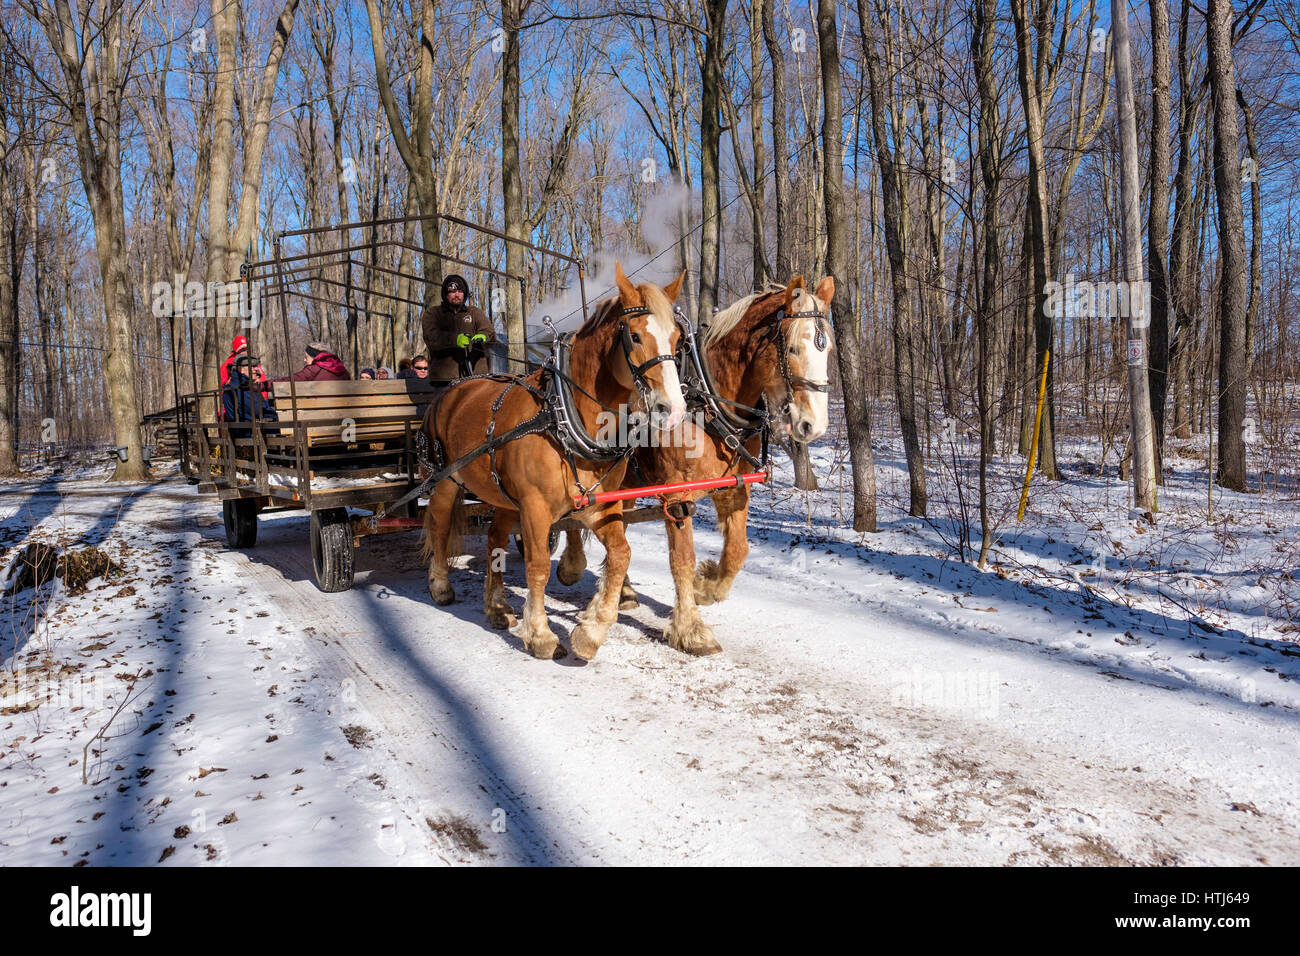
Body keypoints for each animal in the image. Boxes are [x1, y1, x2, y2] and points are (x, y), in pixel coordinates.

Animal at [426, 265, 691, 660]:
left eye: (677, 339)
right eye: (635, 336)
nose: (671, 409)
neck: (563, 414)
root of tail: (457, 386)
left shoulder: (598, 505)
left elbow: (621, 554)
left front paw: (591, 631)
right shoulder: (535, 507)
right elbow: (537, 567)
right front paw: (541, 634)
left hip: (503, 496)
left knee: (494, 539)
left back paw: (497, 606)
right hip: (445, 480)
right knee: (440, 526)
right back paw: (441, 585)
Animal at [556, 273, 837, 655]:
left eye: (828, 349)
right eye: (792, 349)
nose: (814, 425)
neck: (707, 406)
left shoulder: (734, 489)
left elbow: (738, 550)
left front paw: (707, 587)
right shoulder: (677, 496)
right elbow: (682, 559)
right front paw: (690, 628)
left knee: (618, 524)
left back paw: (623, 592)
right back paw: (573, 565)